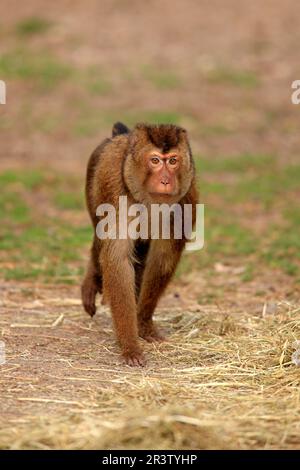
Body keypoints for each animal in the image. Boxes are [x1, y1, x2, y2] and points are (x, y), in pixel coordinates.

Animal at [82, 123, 198, 366]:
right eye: (155, 160)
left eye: (173, 161)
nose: (166, 181)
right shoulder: (118, 193)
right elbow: (118, 259)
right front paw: (130, 345)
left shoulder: (186, 196)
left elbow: (164, 256)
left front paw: (143, 323)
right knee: (100, 238)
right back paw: (92, 278)